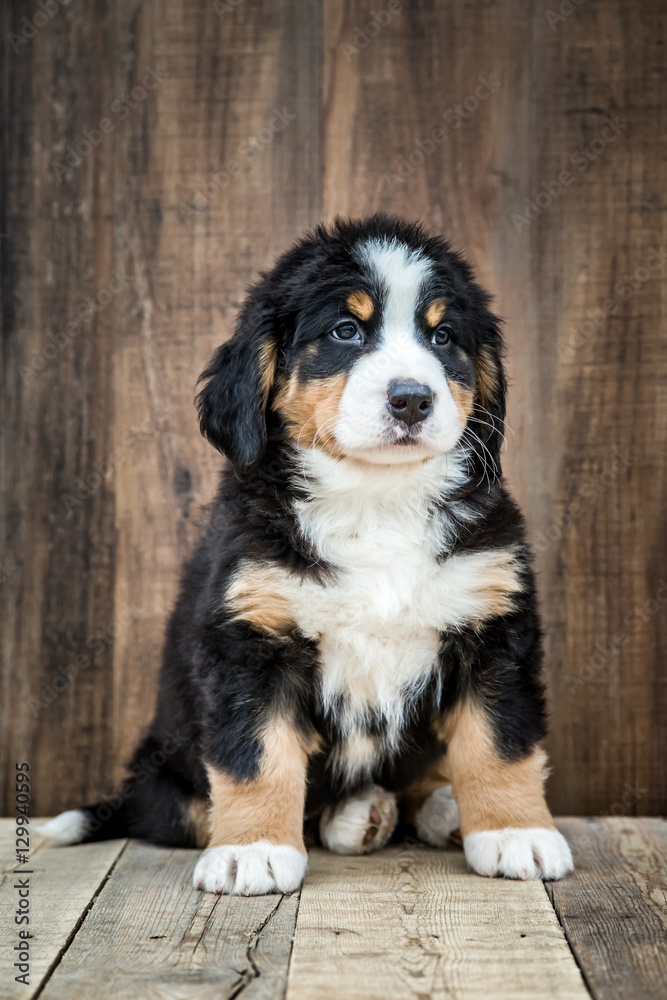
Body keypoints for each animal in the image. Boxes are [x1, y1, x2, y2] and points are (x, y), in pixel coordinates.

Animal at [41, 215, 576, 896]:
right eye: (346, 330)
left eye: (443, 336)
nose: (411, 399)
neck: (376, 500)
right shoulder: (250, 640)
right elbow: (257, 756)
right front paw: (253, 850)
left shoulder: (494, 629)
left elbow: (500, 742)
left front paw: (516, 833)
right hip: (168, 771)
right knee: (203, 807)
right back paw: (358, 815)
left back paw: (436, 810)